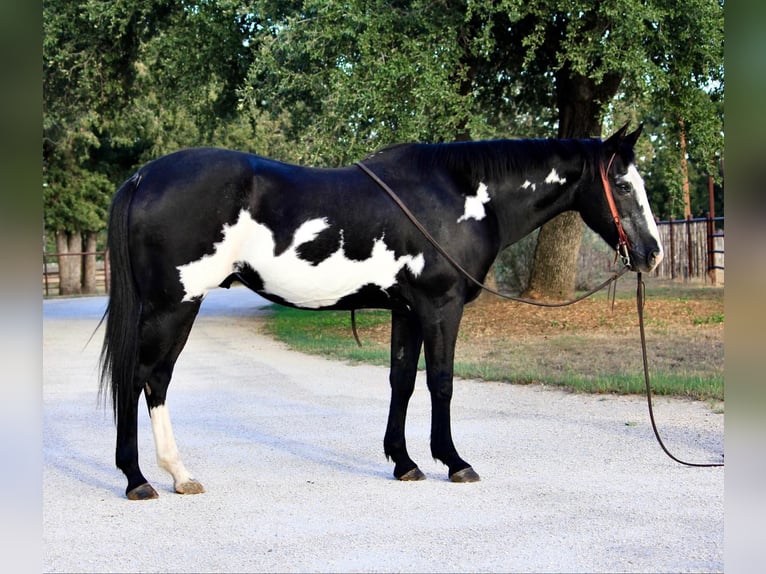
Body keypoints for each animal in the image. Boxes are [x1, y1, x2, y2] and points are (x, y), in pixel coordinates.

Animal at [99, 123, 663, 499]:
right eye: (624, 184)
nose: (652, 254)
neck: (459, 195)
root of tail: (144, 177)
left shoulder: (407, 310)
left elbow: (402, 381)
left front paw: (404, 462)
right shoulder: (440, 306)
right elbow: (441, 381)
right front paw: (453, 462)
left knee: (150, 380)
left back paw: (172, 475)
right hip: (175, 305)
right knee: (144, 377)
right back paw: (142, 478)